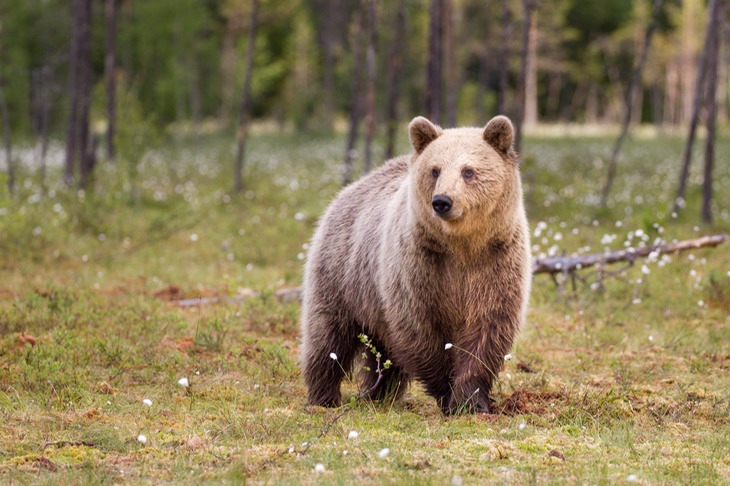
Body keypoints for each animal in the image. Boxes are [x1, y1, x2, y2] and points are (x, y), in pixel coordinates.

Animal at [296, 115, 528, 414]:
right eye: (435, 170)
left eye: (468, 171)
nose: (442, 201)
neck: (462, 246)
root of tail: (351, 188)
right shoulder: (420, 268)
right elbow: (420, 329)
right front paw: (447, 393)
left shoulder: (495, 263)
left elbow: (487, 329)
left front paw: (471, 401)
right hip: (342, 273)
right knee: (328, 336)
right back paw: (324, 396)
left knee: (381, 352)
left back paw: (379, 393)